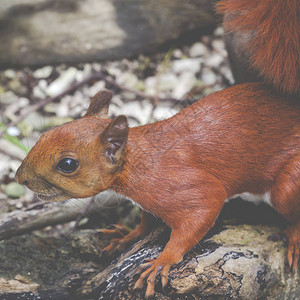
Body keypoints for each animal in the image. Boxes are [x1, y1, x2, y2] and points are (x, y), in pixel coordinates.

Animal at [15, 82, 298, 298]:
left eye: (68, 164)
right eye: (46, 134)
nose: (20, 178)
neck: (137, 161)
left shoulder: (189, 187)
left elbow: (202, 212)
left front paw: (163, 260)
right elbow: (146, 221)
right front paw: (127, 236)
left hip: (286, 187)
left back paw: (293, 238)